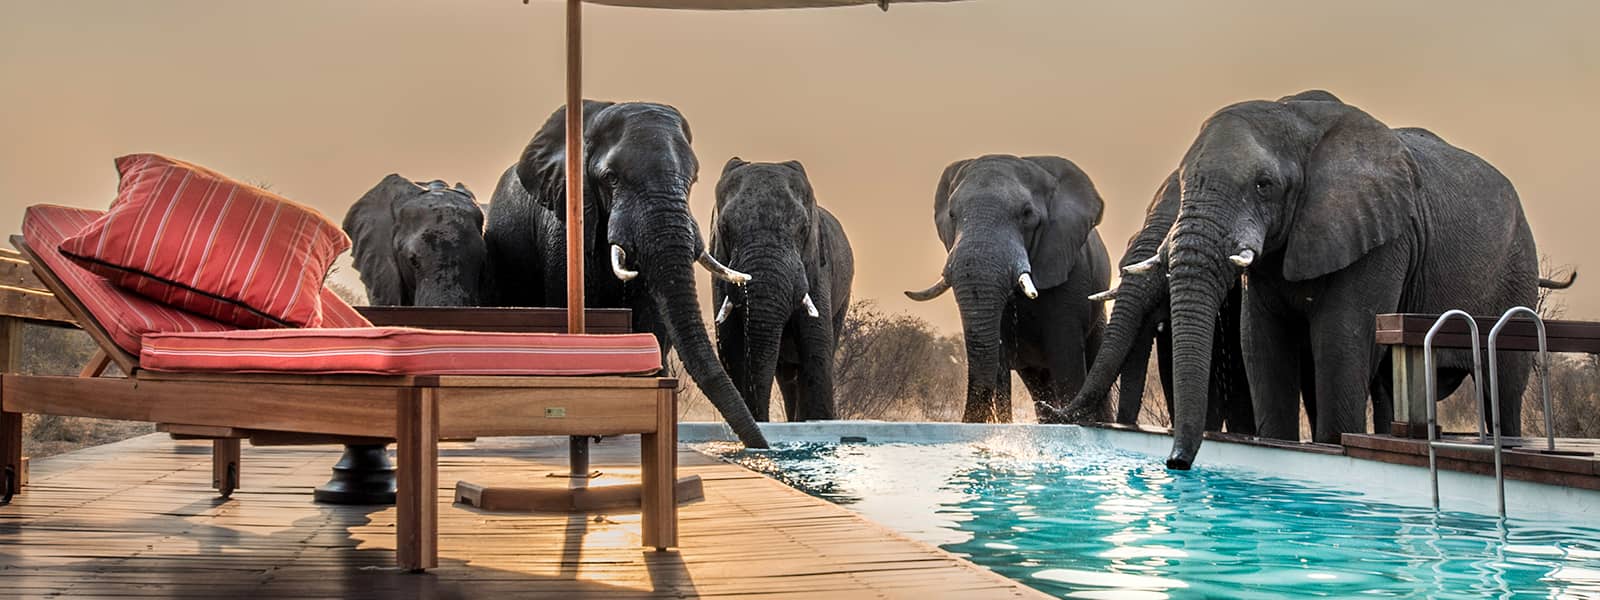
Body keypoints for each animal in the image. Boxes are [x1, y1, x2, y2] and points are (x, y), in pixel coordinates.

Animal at [709, 158, 855, 422]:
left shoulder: (817, 269)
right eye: (724, 229)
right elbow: (730, 345)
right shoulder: (719, 268)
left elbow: (816, 345)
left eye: (803, 229)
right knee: (786, 376)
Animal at [905, 155, 1110, 423]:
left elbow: (1066, 356)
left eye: (1027, 213)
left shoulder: (1072, 270)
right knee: (1038, 383)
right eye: (951, 214)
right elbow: (999, 362)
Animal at [1152, 89, 1561, 469]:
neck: (1295, 117)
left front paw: (1332, 445)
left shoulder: (1383, 239)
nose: (1176, 463)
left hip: (1516, 268)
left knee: (1503, 387)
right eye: (1184, 184)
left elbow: (1340, 343)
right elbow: (1261, 344)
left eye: (1263, 185)